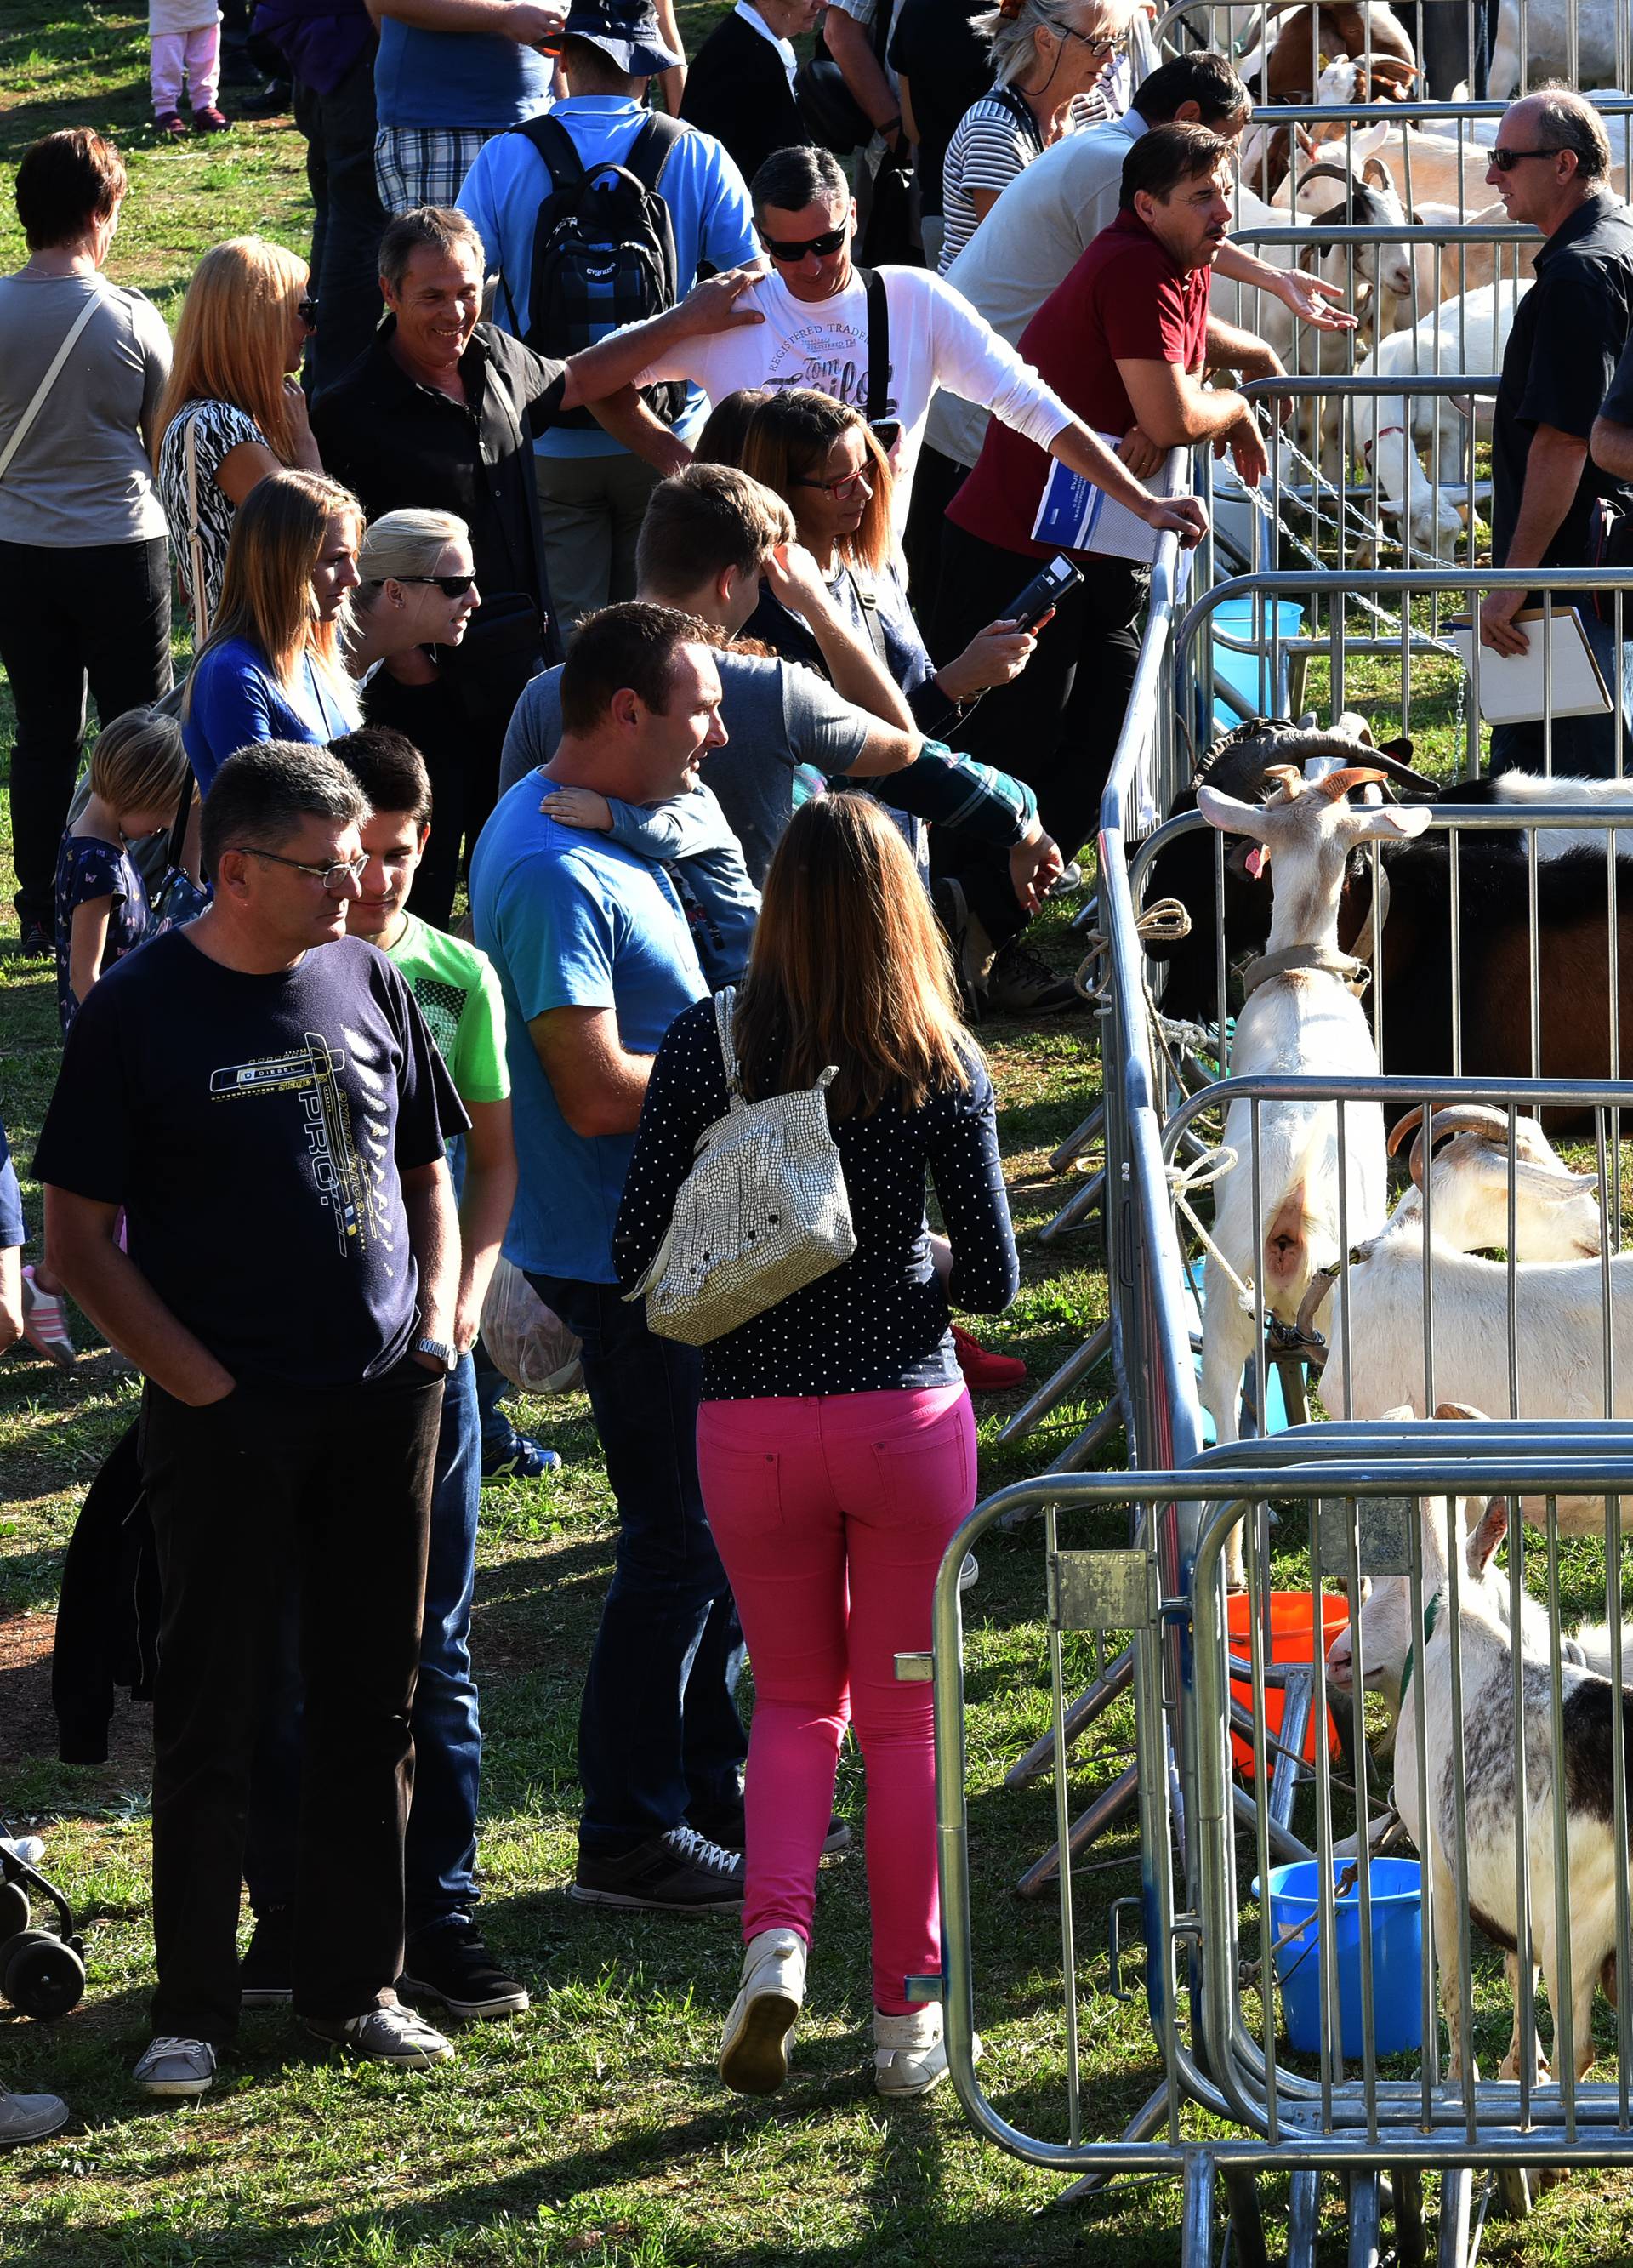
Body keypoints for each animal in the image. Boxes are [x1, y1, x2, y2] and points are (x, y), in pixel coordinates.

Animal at [1324, 1469, 1633, 2086]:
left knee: (1580, 2049)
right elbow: (1517, 1966)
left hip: (1580, 1929)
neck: (1451, 1622)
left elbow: (1452, 1986)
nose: (1338, 1658)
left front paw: (1458, 2082)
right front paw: (1520, 2067)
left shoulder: (1442, 1864)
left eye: (1388, 1582)